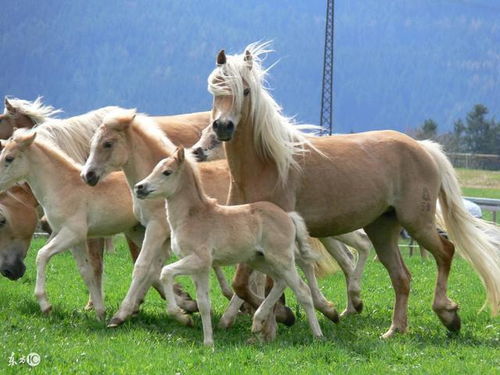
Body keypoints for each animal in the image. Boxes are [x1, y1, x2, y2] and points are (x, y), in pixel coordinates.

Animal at [137, 145, 324, 346]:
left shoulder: (199, 260)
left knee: (303, 291)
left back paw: (317, 335)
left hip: (282, 260)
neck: (192, 216)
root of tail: (288, 216)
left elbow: (165, 272)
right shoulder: (199, 268)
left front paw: (181, 316)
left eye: (167, 172)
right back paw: (257, 322)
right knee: (280, 283)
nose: (139, 187)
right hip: (259, 261)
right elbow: (204, 303)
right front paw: (208, 343)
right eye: (155, 168)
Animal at [205, 42, 498, 340]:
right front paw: (274, 322)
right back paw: (394, 329)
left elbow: (262, 284)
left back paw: (447, 314)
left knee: (446, 252)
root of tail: (423, 147)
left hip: (416, 222)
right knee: (402, 276)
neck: (267, 164)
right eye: (215, 88)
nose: (223, 126)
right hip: (382, 228)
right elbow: (244, 284)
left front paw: (286, 317)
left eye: (245, 90)